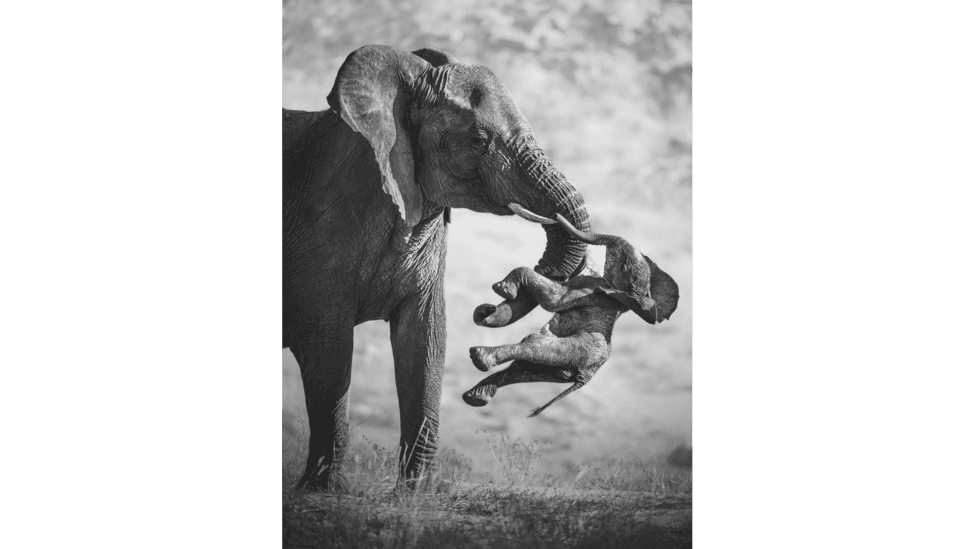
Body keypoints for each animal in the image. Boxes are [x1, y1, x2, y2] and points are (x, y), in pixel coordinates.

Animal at [282, 45, 593, 490]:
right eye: (479, 140)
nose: (490, 302)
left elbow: (426, 339)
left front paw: (417, 493)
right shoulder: (319, 232)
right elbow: (330, 349)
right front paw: (324, 491)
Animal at [464, 211, 679, 417]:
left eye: (624, 265)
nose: (555, 216)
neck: (635, 295)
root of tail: (585, 377)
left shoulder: (589, 289)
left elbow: (553, 299)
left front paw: (503, 290)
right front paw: (485, 311)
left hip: (574, 350)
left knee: (533, 345)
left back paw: (480, 357)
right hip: (558, 368)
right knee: (521, 369)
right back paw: (475, 396)